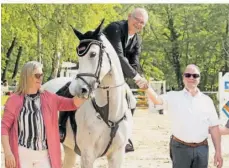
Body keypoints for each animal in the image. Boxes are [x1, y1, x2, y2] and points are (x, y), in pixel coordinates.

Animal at [42, 20, 134, 168]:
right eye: (79, 57)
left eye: (93, 54)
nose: (78, 89)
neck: (109, 112)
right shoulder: (87, 155)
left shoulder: (117, 155)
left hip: (69, 148)